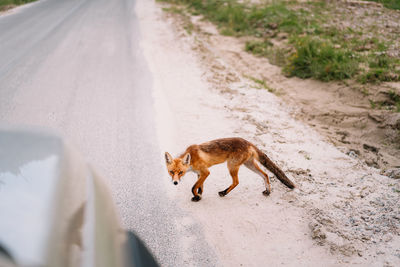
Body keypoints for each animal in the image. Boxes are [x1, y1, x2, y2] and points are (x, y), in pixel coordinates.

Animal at [165, 137, 294, 202]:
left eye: (180, 172)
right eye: (171, 172)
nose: (175, 183)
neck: (192, 160)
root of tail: (248, 142)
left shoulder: (206, 172)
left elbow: (193, 187)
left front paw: (196, 197)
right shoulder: (200, 174)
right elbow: (200, 187)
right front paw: (199, 196)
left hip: (231, 166)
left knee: (236, 182)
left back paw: (224, 192)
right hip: (249, 164)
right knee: (265, 174)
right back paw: (268, 191)